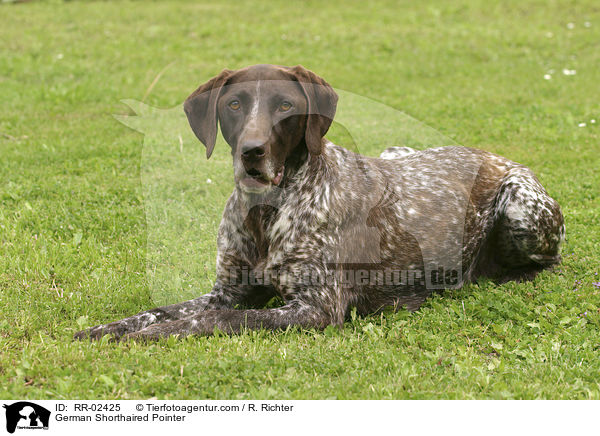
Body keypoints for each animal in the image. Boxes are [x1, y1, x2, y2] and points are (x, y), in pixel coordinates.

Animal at [74, 63, 564, 340]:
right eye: (234, 105)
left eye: (285, 106)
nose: (251, 152)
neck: (266, 212)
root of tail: (495, 156)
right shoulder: (225, 292)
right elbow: (159, 310)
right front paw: (110, 327)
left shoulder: (315, 308)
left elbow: (216, 321)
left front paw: (157, 333)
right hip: (395, 150)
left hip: (520, 205)